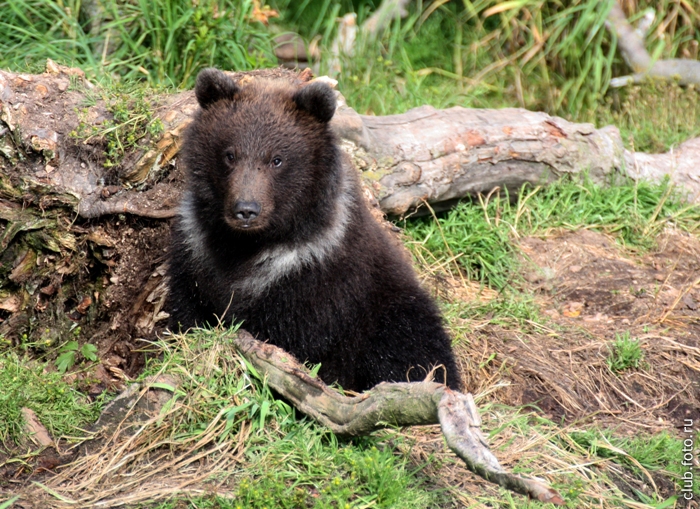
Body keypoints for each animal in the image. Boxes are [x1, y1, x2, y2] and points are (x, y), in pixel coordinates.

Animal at [167, 67, 462, 390]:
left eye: (277, 159)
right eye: (229, 155)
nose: (245, 210)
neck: (252, 243)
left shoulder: (315, 275)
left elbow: (293, 335)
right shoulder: (196, 248)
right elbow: (187, 308)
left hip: (393, 312)